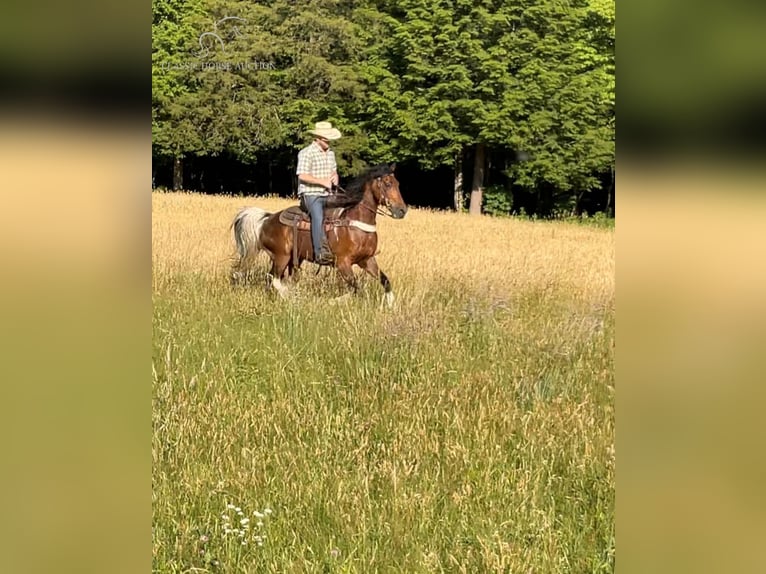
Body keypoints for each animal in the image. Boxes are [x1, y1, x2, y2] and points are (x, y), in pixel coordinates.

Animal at [231, 163, 408, 306]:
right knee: (274, 279)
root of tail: (266, 219)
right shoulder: (343, 263)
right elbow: (354, 288)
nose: (402, 210)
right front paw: (332, 301)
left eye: (398, 184)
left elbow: (385, 281)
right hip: (282, 256)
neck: (355, 224)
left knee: (273, 279)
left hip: (293, 259)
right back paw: (291, 297)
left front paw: (391, 305)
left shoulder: (367, 260)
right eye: (387, 183)